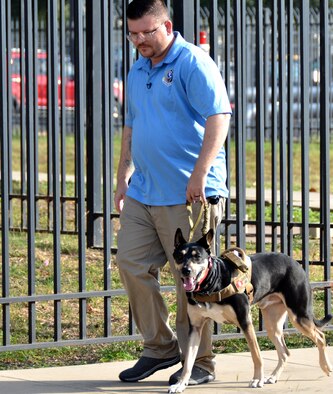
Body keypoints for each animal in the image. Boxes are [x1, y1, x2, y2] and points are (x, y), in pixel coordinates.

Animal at [167, 229, 330, 392]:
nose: (186, 270)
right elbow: (188, 361)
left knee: (320, 337)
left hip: (298, 316)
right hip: (272, 325)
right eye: (180, 256)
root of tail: (295, 263)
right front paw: (181, 384)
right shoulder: (195, 328)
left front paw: (257, 379)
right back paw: (273, 376)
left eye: (197, 257)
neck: (212, 283)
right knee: (285, 352)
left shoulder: (245, 321)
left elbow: (256, 355)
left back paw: (325, 367)